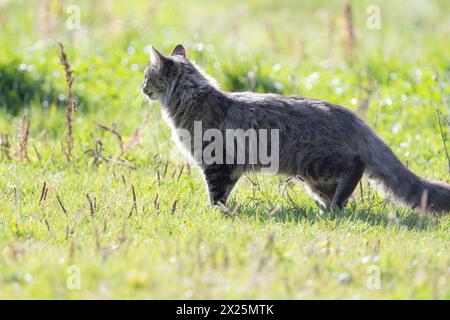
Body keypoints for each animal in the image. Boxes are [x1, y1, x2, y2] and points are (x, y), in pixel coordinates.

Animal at [142, 43, 450, 214]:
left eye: (147, 76)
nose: (141, 88)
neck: (192, 99)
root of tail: (352, 118)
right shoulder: (231, 168)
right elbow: (224, 194)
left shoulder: (217, 162)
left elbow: (215, 194)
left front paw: (213, 214)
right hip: (314, 178)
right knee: (337, 193)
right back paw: (330, 209)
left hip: (318, 163)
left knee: (357, 166)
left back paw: (334, 208)